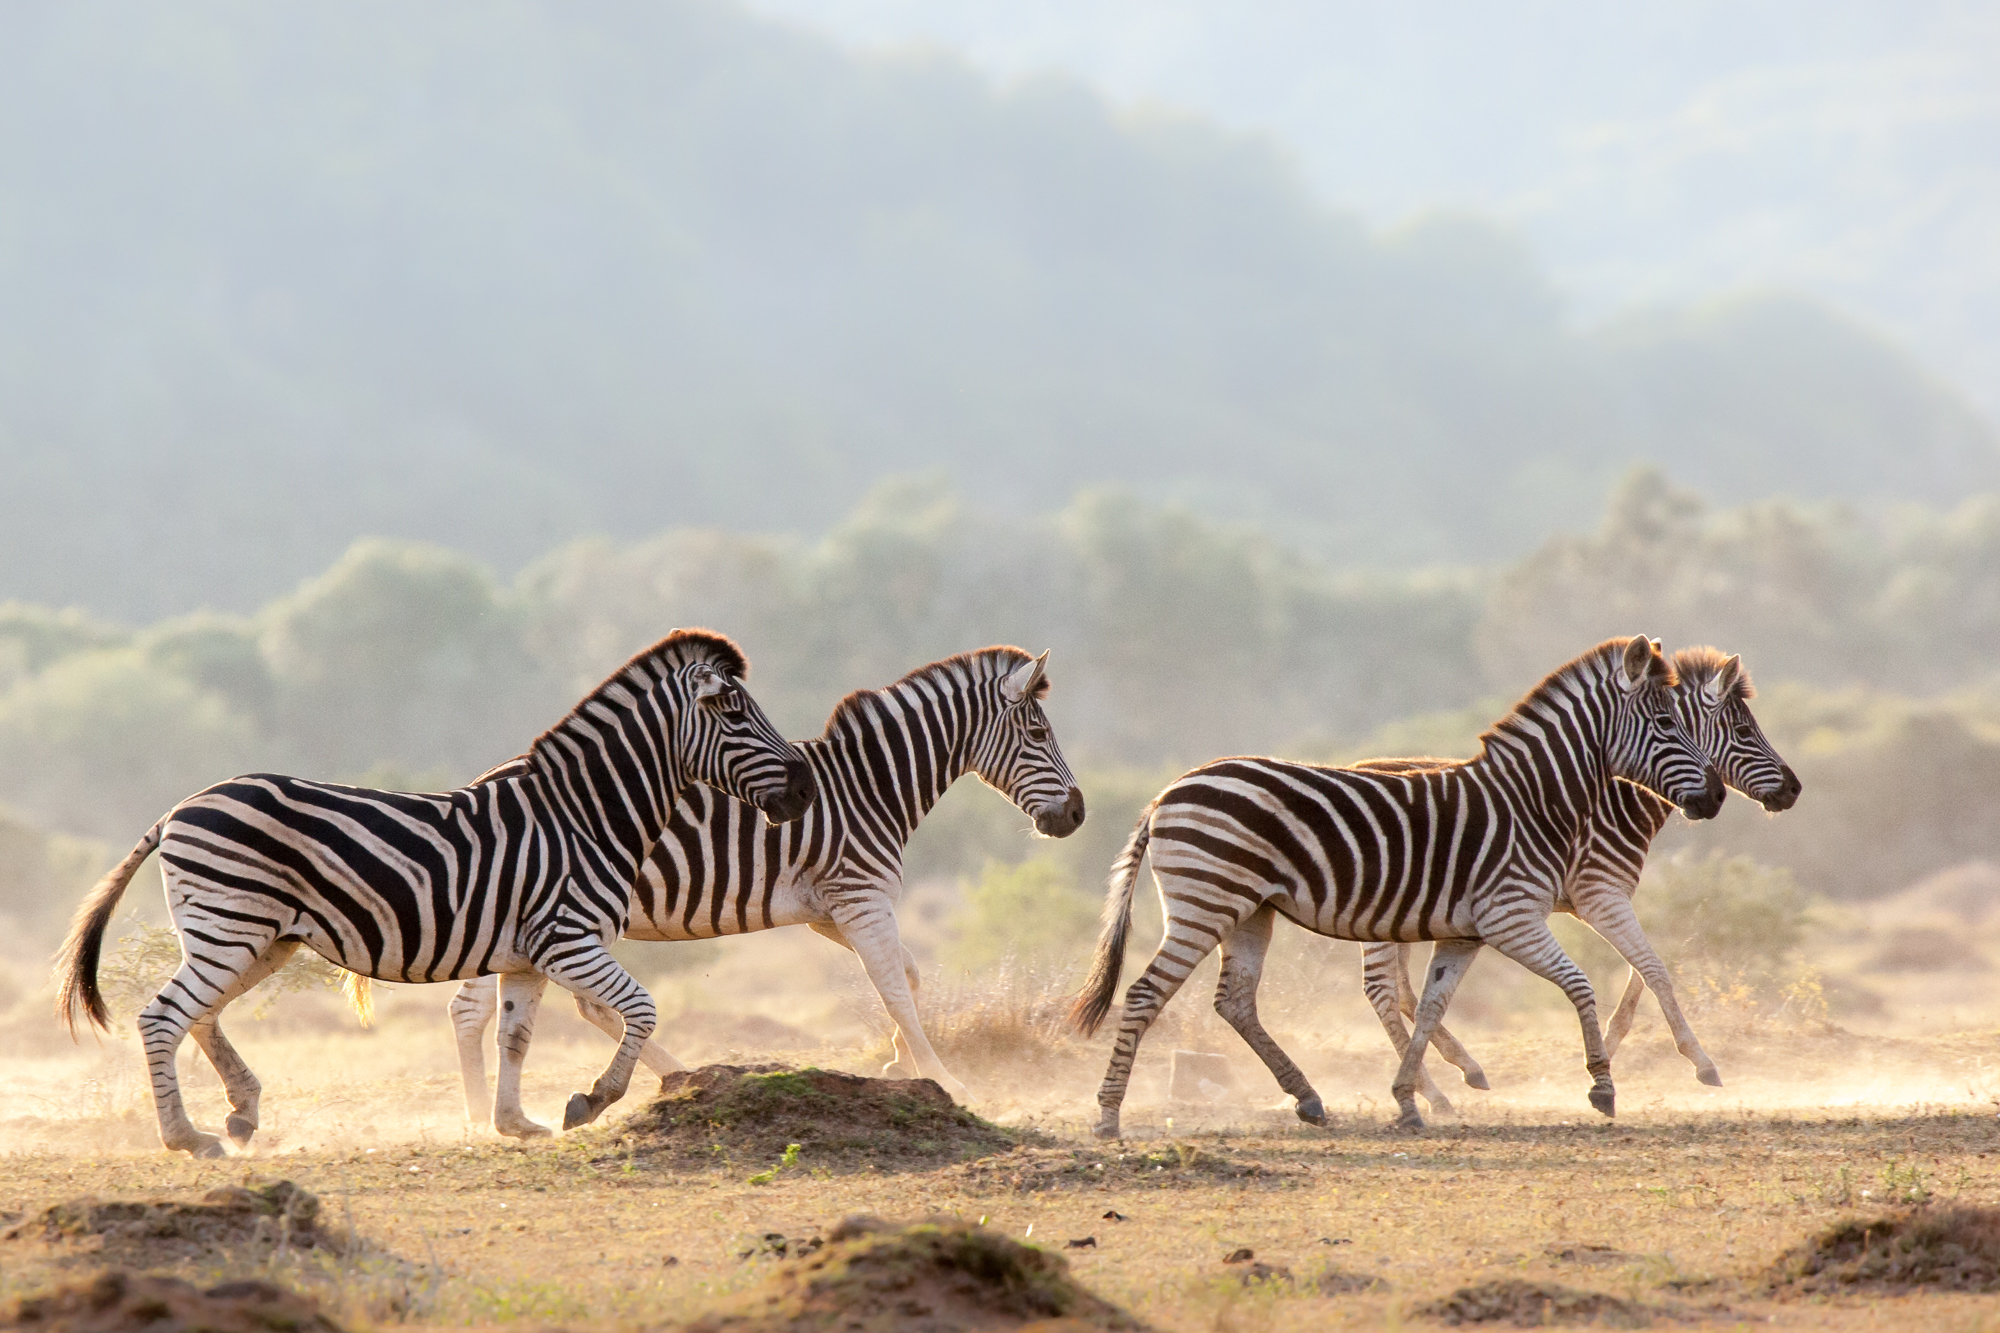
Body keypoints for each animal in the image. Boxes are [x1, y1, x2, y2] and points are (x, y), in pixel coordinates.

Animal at [54, 628, 808, 1144]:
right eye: (734, 712)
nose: (802, 788)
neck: (585, 815)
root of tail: (178, 807)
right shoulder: (568, 939)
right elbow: (643, 1008)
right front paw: (590, 1100)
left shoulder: (530, 955)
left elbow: (516, 1037)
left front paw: (514, 1122)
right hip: (231, 927)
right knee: (164, 1016)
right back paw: (188, 1136)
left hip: (257, 938)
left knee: (201, 1015)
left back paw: (241, 1110)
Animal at [448, 644, 1088, 1120]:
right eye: (1037, 735)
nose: (1078, 815)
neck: (870, 786)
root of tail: (487, 777)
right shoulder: (859, 896)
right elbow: (895, 988)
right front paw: (945, 1081)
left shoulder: (828, 911)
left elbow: (905, 975)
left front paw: (897, 1062)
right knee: (518, 1007)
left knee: (501, 1006)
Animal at [1072, 632, 1728, 1128]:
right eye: (1666, 722)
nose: (1718, 798)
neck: (1532, 802)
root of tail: (1165, 794)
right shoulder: (1511, 917)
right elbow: (1580, 985)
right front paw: (1601, 1086)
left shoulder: (1465, 933)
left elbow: (1433, 1006)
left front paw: (1409, 1100)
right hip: (1206, 900)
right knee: (1145, 993)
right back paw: (1107, 1114)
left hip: (1249, 909)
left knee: (1234, 1001)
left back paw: (1308, 1098)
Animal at [1352, 644, 1808, 1112]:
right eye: (1743, 730)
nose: (1794, 789)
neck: (1614, 801)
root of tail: (1359, 762)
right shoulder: (1598, 893)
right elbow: (1652, 968)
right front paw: (1697, 1061)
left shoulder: (1602, 898)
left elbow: (1642, 970)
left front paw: (1610, 1044)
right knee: (1382, 992)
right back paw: (1433, 1091)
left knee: (1403, 991)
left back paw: (1459, 1071)